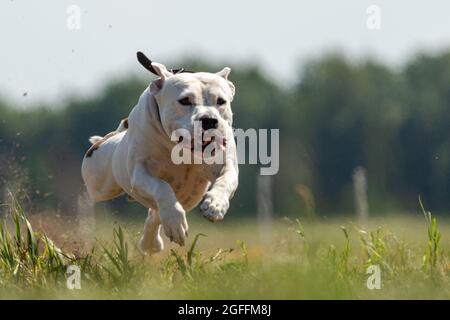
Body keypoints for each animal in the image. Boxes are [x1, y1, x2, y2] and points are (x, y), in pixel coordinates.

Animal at [80, 53, 239, 254]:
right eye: (185, 100)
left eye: (221, 101)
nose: (209, 120)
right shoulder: (140, 172)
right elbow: (161, 187)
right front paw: (176, 221)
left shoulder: (225, 164)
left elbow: (226, 180)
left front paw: (215, 205)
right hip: (98, 183)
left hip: (190, 195)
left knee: (155, 214)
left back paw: (152, 242)